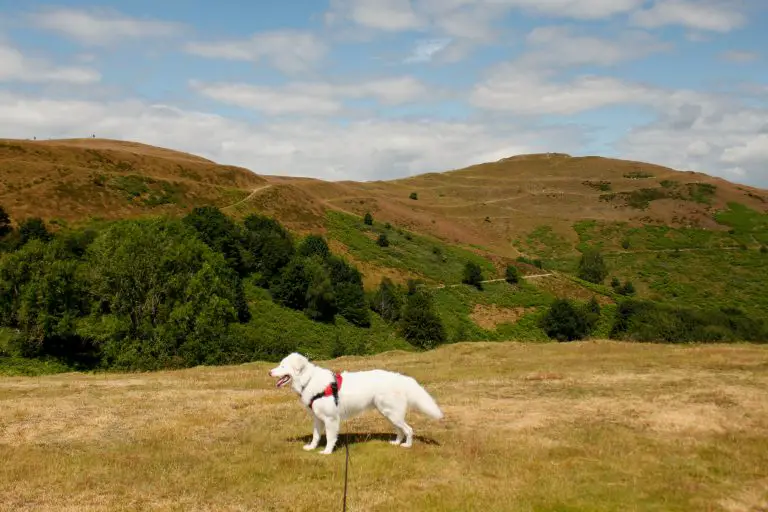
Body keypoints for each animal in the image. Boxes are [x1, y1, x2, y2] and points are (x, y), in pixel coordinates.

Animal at [270, 352, 444, 456]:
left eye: (283, 366)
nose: (269, 372)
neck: (309, 380)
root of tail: (398, 377)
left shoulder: (331, 419)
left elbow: (330, 438)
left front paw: (327, 452)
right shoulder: (317, 418)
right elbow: (316, 436)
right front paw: (311, 447)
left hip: (392, 414)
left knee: (409, 429)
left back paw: (407, 445)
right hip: (389, 414)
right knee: (400, 430)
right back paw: (396, 443)